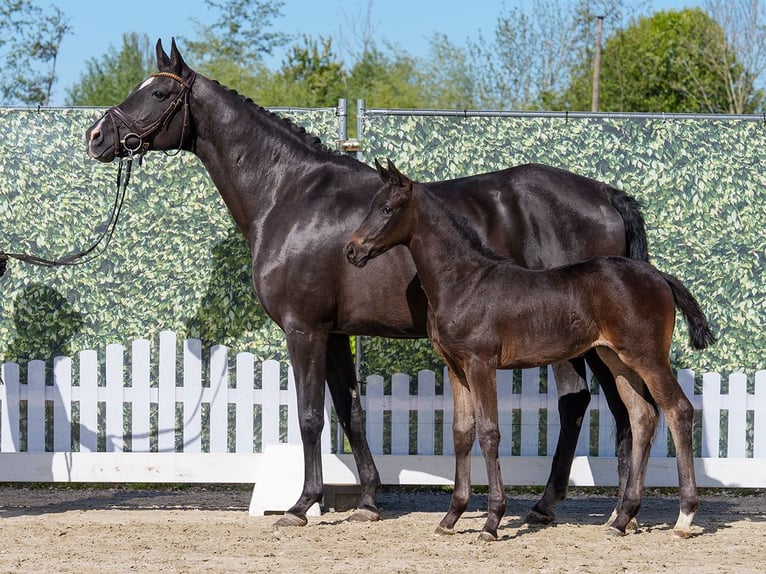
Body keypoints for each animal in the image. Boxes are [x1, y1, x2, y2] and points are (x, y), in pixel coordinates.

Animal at [85, 38, 650, 528]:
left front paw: (301, 505)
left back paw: (589, 508)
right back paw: (588, 508)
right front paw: (368, 502)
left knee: (601, 406)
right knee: (608, 407)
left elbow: (310, 416)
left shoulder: (305, 329)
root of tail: (606, 195)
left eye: (159, 94)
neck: (289, 195)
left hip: (592, 344)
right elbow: (350, 411)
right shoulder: (335, 332)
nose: (97, 136)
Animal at [346, 160, 714, 540]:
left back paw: (684, 517)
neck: (464, 281)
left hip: (647, 356)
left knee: (678, 410)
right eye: (371, 205)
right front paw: (450, 518)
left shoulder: (481, 363)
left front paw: (492, 522)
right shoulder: (455, 367)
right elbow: (461, 433)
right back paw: (622, 518)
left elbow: (489, 432)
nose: (352, 250)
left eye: (388, 209)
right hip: (617, 359)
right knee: (643, 416)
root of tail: (658, 276)